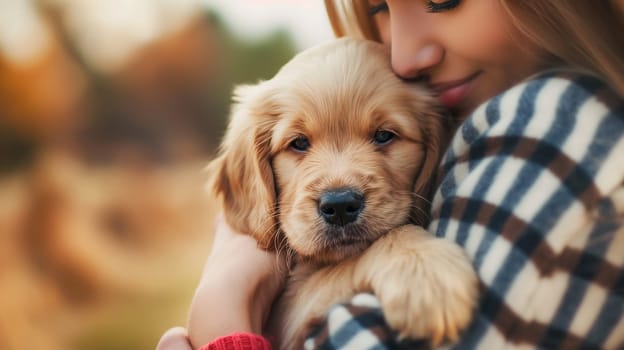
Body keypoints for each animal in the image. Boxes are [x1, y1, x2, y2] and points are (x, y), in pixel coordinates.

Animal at [207, 37, 476, 348]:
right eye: (299, 143)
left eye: (384, 135)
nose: (339, 206)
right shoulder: (286, 316)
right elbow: (355, 257)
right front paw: (425, 272)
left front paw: (423, 269)